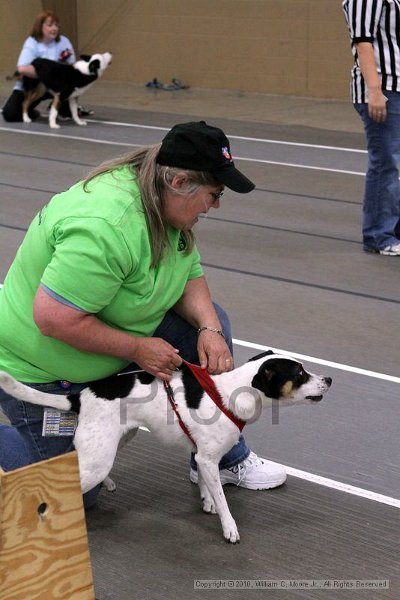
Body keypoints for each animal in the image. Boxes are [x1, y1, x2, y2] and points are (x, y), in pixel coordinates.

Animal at [0, 352, 332, 544]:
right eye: (299, 374)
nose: (329, 379)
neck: (228, 394)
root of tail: (79, 398)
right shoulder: (208, 458)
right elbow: (224, 500)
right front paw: (229, 528)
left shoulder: (202, 456)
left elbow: (206, 484)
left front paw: (206, 501)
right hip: (98, 457)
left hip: (118, 438)